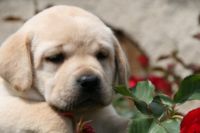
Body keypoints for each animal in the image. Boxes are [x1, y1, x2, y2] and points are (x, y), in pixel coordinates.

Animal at [0, 5, 128, 133]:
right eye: (54, 57)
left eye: (102, 55)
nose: (89, 81)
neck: (78, 113)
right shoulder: (7, 103)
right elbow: (50, 114)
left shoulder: (104, 115)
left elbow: (122, 122)